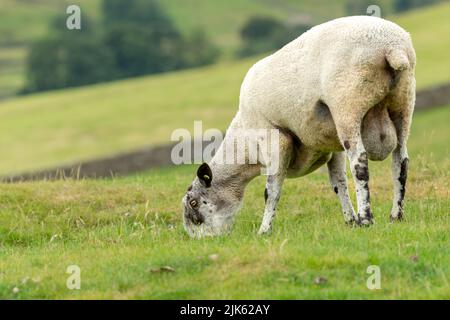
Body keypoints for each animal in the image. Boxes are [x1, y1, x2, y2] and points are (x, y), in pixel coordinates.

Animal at [181, 16, 416, 238]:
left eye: (193, 203)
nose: (201, 241)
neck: (246, 148)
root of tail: (391, 47)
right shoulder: (333, 149)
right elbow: (338, 183)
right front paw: (350, 221)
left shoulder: (274, 139)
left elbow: (271, 190)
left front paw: (264, 231)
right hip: (403, 104)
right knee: (400, 162)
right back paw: (396, 215)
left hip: (348, 105)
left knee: (360, 164)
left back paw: (367, 218)